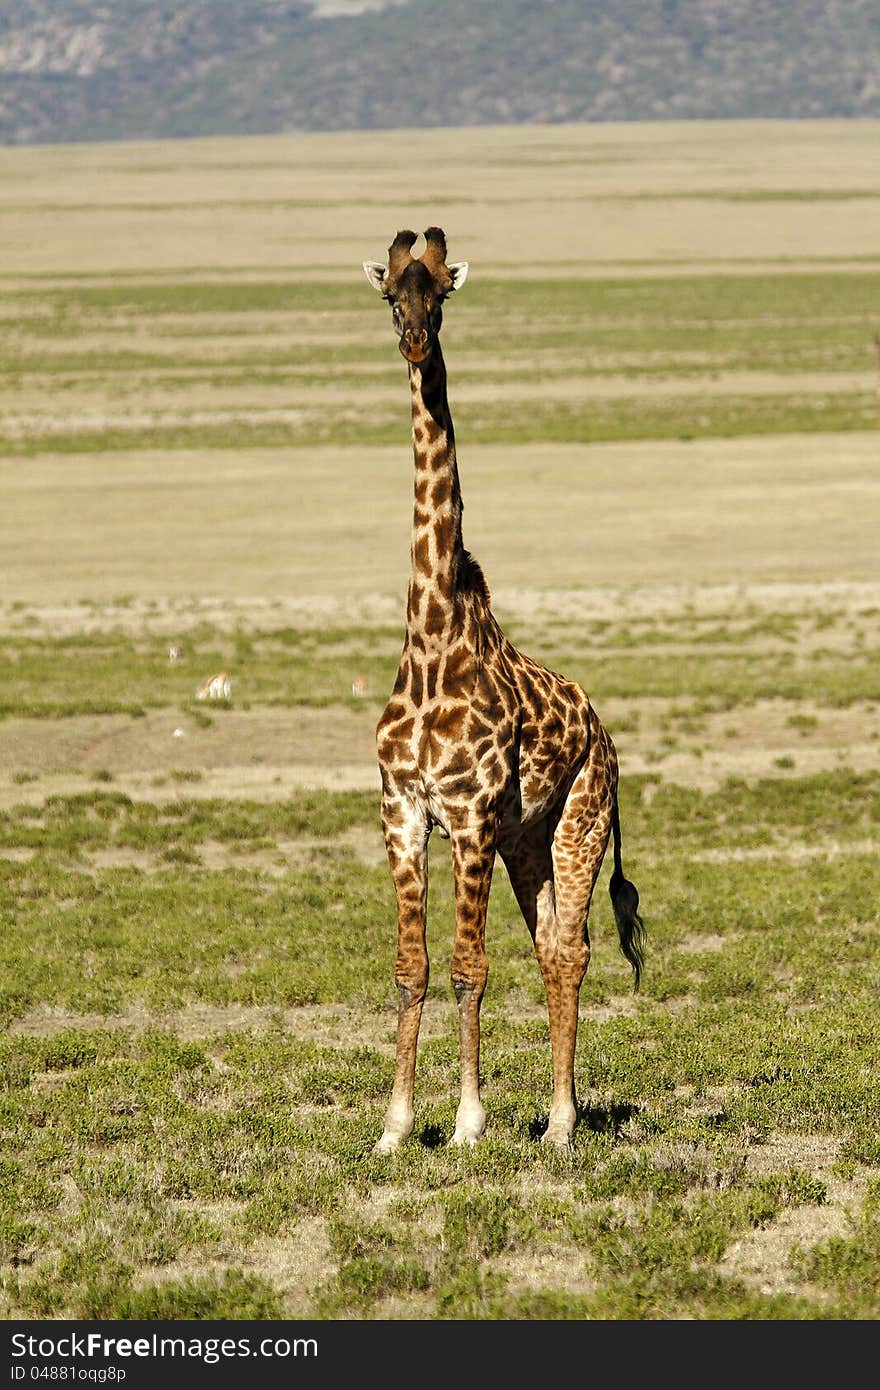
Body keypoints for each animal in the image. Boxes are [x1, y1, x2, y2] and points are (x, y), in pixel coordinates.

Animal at [361, 227, 642, 1150]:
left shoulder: (472, 813)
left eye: (443, 292)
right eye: (392, 296)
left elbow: (467, 968)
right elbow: (411, 968)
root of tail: (603, 731)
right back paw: (557, 1117)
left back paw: (561, 1125)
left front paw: (468, 1122)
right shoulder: (404, 811)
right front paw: (394, 1128)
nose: (416, 342)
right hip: (530, 840)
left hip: (579, 820)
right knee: (553, 945)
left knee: (575, 949)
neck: (431, 638)